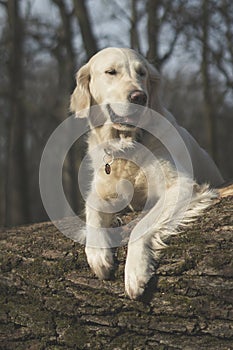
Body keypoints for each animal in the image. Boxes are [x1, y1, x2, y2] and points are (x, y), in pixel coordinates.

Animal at [70, 45, 223, 298]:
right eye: (111, 72)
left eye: (141, 73)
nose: (139, 96)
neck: (127, 145)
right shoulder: (103, 190)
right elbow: (92, 208)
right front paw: (98, 255)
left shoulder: (180, 186)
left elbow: (141, 225)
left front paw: (135, 272)